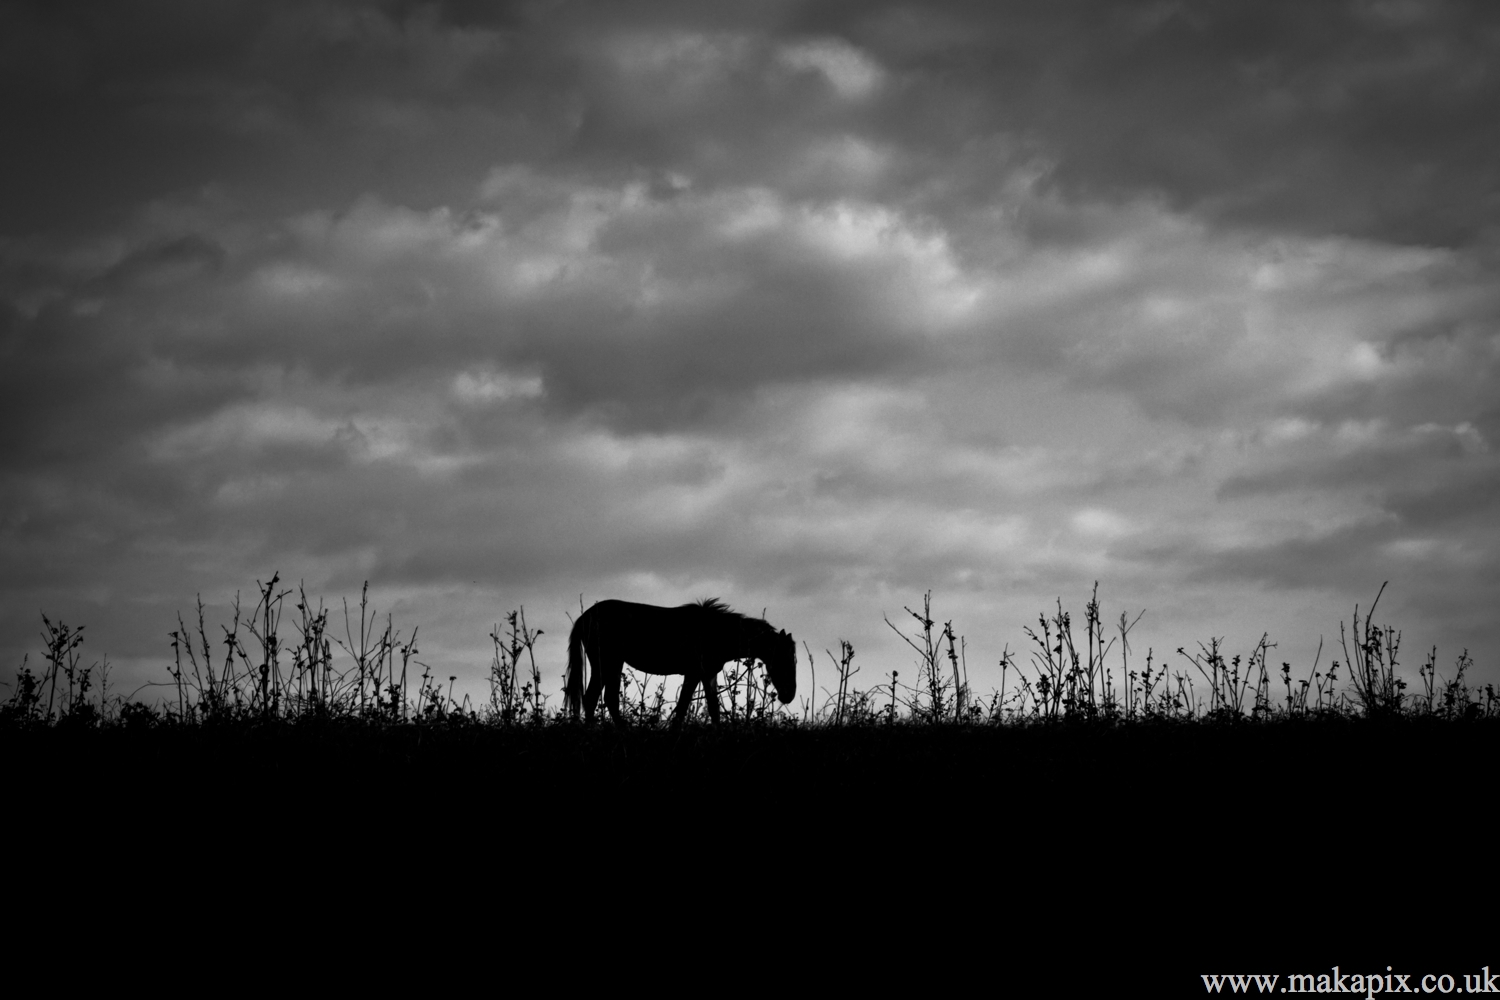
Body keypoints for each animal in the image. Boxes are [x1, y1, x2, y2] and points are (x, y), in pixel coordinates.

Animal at [564, 599, 798, 731]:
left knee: (604, 698)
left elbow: (713, 708)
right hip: (607, 663)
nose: (789, 695)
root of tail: (584, 617)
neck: (715, 631)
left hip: (612, 664)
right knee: (595, 697)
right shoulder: (694, 673)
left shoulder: (708, 674)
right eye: (785, 660)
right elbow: (684, 705)